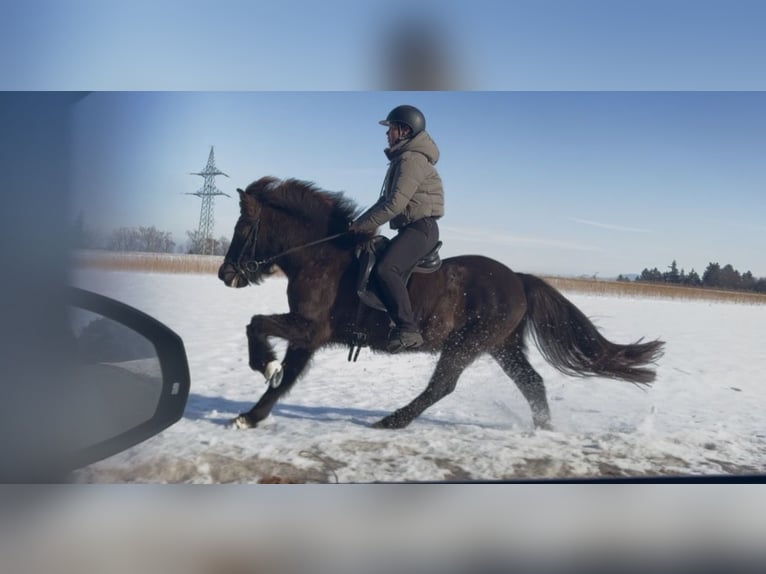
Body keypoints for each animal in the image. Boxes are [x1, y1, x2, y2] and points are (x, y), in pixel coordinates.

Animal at [218, 176, 665, 431]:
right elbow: (286, 377)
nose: (225, 274)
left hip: (466, 344)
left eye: (243, 226)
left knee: (443, 385)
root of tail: (518, 279)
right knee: (532, 383)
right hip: (501, 345)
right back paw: (543, 430)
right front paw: (251, 415)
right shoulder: (308, 335)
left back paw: (392, 421)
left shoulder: (309, 326)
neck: (321, 255)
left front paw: (263, 364)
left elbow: (256, 324)